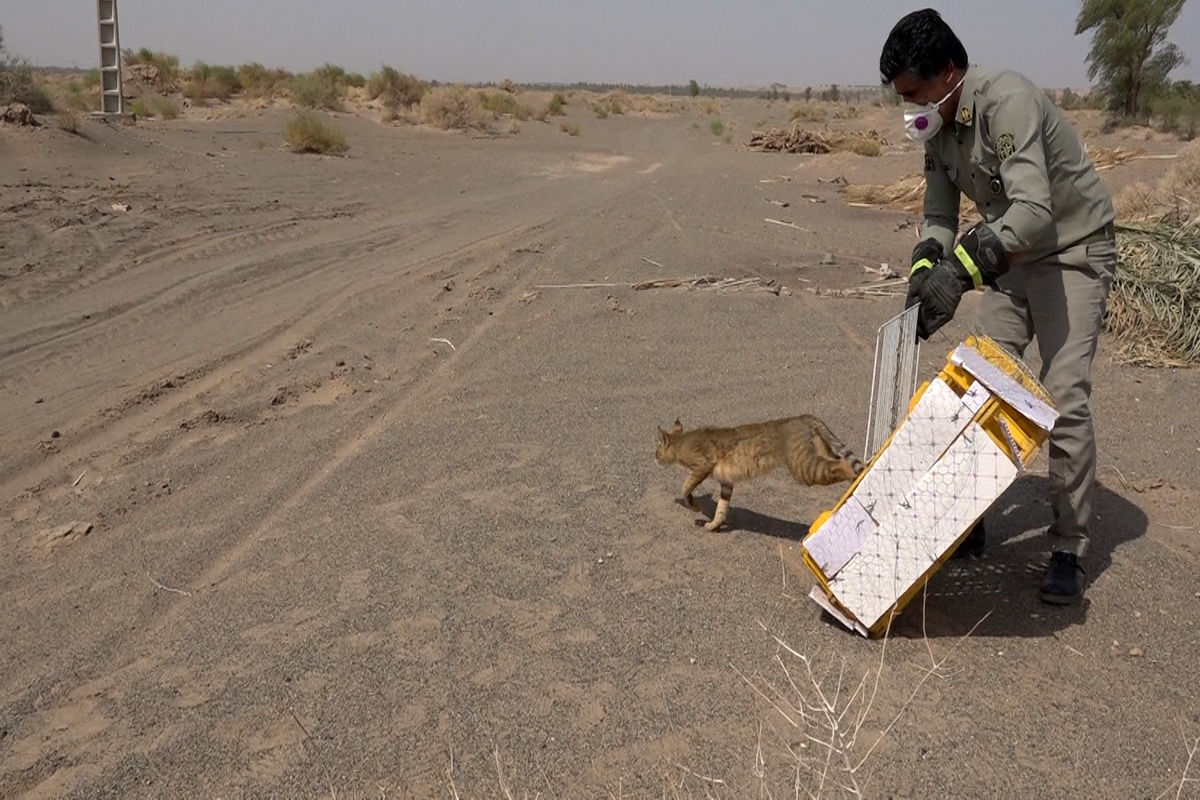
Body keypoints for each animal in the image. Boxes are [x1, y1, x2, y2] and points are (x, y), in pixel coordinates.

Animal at [657, 412, 864, 532]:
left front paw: (694, 506)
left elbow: (686, 488)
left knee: (844, 464)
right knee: (841, 460)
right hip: (820, 453)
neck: (681, 442)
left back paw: (855, 478)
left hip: (805, 468)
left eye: (656, 450)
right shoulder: (727, 482)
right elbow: (721, 510)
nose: (654, 457)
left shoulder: (702, 466)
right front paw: (713, 525)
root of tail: (803, 417)